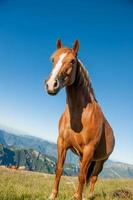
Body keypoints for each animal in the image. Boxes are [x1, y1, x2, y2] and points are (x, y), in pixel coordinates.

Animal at [44, 39, 114, 200]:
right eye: (52, 59)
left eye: (72, 61)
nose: (51, 84)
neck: (79, 117)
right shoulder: (62, 143)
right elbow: (59, 169)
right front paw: (53, 195)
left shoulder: (89, 150)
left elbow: (82, 176)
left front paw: (78, 197)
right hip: (83, 157)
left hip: (100, 161)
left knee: (93, 177)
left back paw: (89, 195)